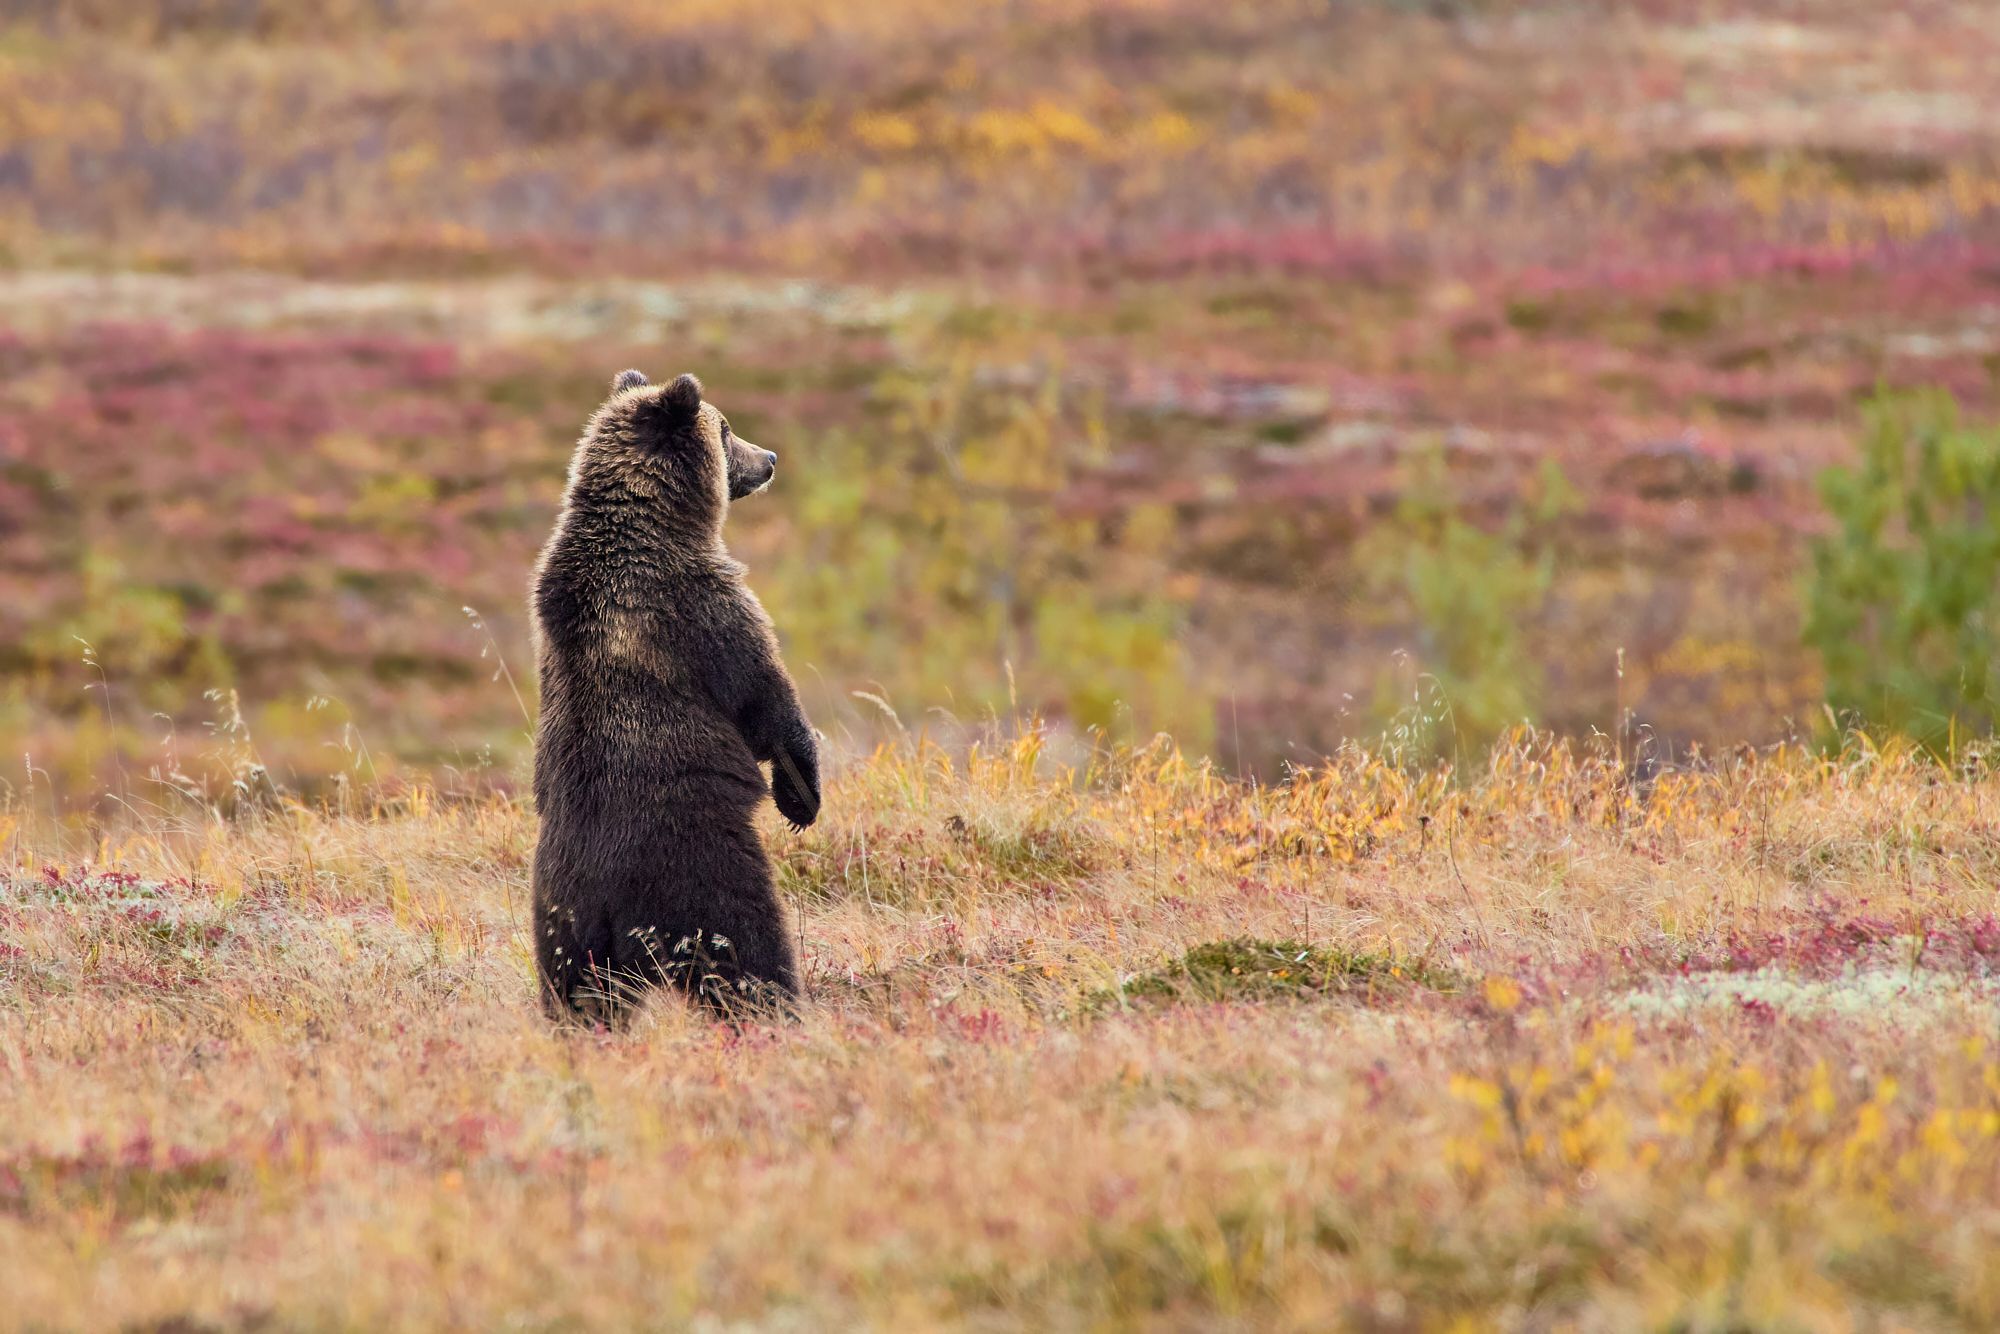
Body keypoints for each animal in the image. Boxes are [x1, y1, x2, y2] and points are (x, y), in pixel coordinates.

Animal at [528, 370, 824, 1016]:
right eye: (727, 429)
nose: (769, 458)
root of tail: (605, 903)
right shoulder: (701, 603)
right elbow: (763, 697)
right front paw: (801, 797)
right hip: (698, 873)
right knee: (745, 950)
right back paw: (781, 1005)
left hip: (558, 918)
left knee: (574, 992)